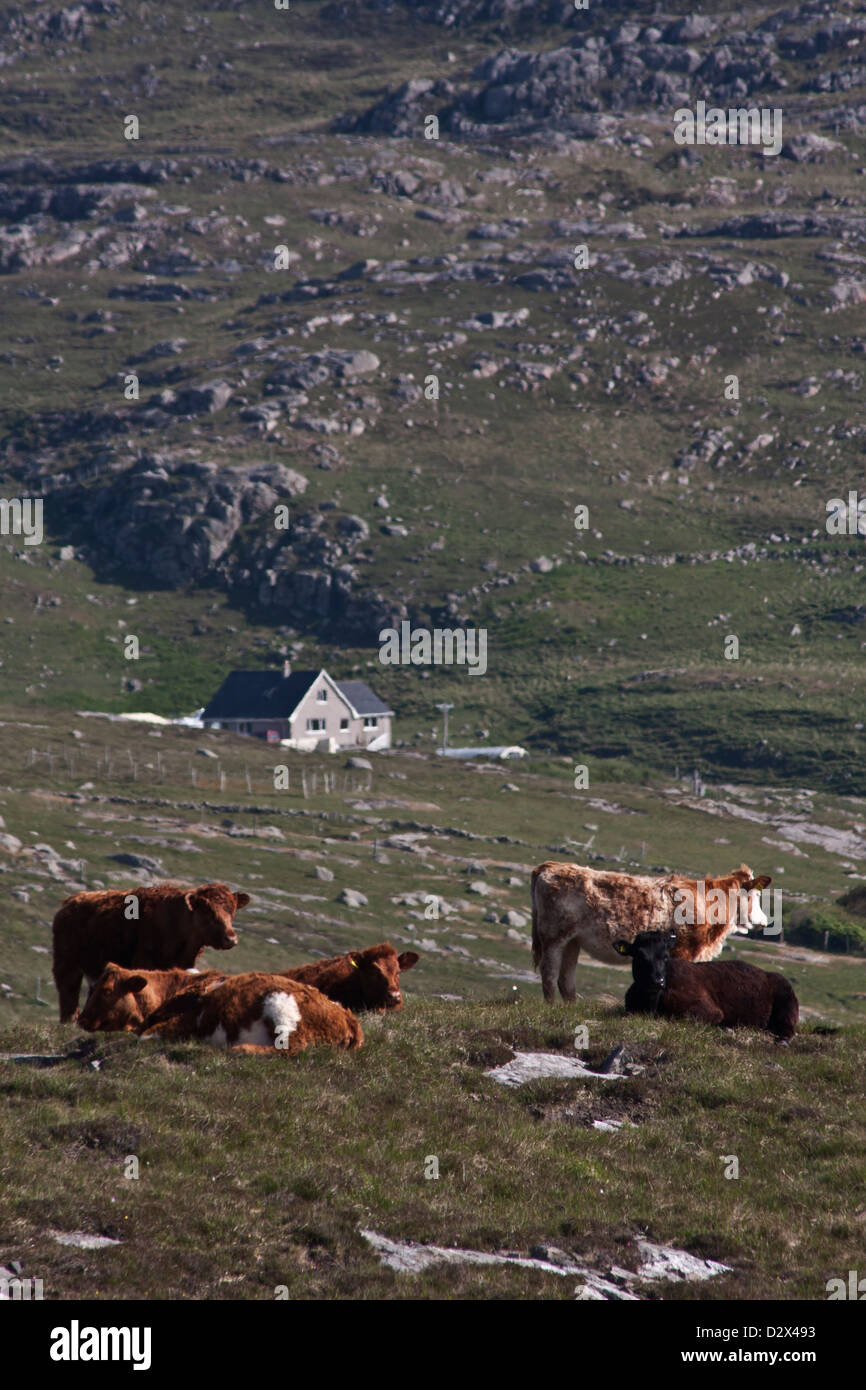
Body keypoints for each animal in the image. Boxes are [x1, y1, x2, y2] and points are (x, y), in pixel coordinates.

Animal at [52, 882, 250, 1022]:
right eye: (207, 910)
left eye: (232, 910)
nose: (231, 938)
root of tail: (69, 903)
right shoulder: (145, 962)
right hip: (67, 963)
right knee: (68, 993)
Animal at [531, 861, 772, 1003]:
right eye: (757, 895)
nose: (764, 921)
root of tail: (549, 866)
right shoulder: (684, 951)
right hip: (554, 937)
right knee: (549, 974)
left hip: (573, 941)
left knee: (566, 980)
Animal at [613, 929, 799, 1041]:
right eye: (639, 956)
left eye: (666, 956)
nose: (657, 981)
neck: (652, 1004)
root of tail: (769, 974)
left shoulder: (710, 1010)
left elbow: (685, 1017)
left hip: (787, 1009)